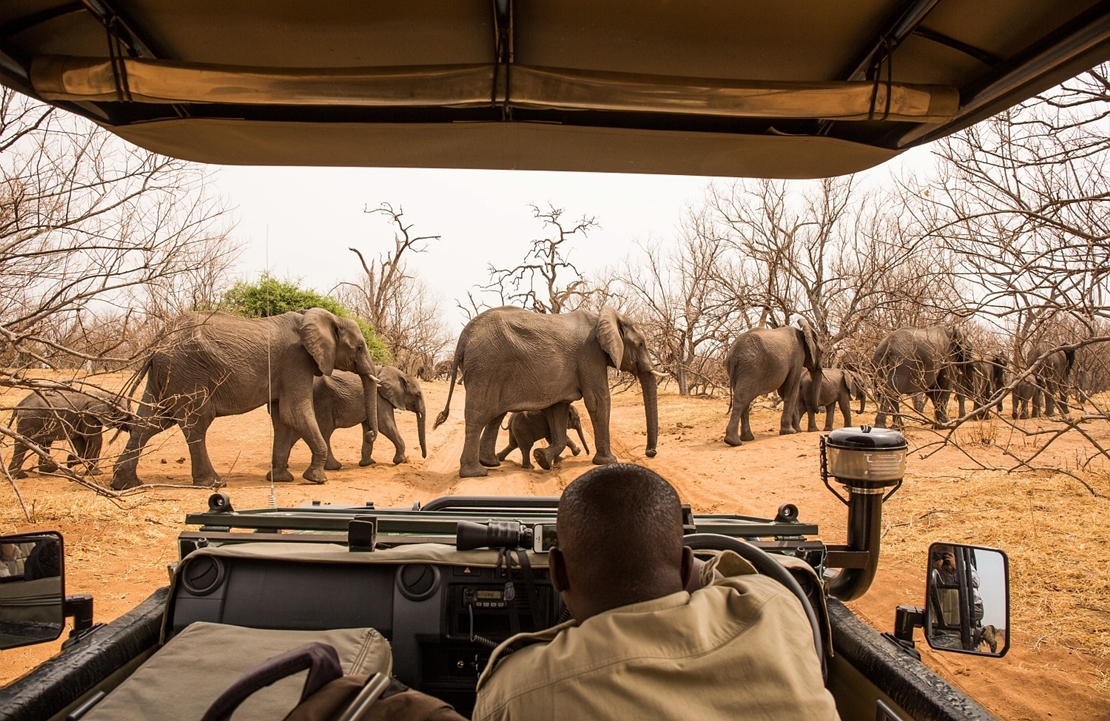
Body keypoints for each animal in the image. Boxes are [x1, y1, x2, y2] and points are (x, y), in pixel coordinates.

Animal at [109, 308, 377, 488]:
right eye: (360, 347)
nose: (370, 434)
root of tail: (159, 341)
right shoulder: (296, 360)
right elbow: (294, 412)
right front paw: (317, 479)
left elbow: (282, 418)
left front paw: (281, 479)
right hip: (187, 372)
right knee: (195, 422)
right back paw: (213, 483)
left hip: (166, 374)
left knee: (151, 422)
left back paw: (126, 484)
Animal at [277, 361, 428, 468]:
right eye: (417, 395)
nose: (424, 457)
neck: (399, 373)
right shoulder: (380, 399)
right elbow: (385, 425)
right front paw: (400, 461)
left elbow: (368, 425)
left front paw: (368, 464)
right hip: (322, 400)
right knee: (325, 431)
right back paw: (334, 467)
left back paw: (285, 466)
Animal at [432, 303, 657, 476]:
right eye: (640, 344)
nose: (650, 453)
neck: (604, 316)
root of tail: (464, 337)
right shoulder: (590, 357)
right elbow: (597, 401)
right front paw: (608, 462)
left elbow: (558, 409)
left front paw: (542, 459)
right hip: (485, 367)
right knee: (479, 415)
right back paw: (475, 473)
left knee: (495, 415)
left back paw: (491, 464)